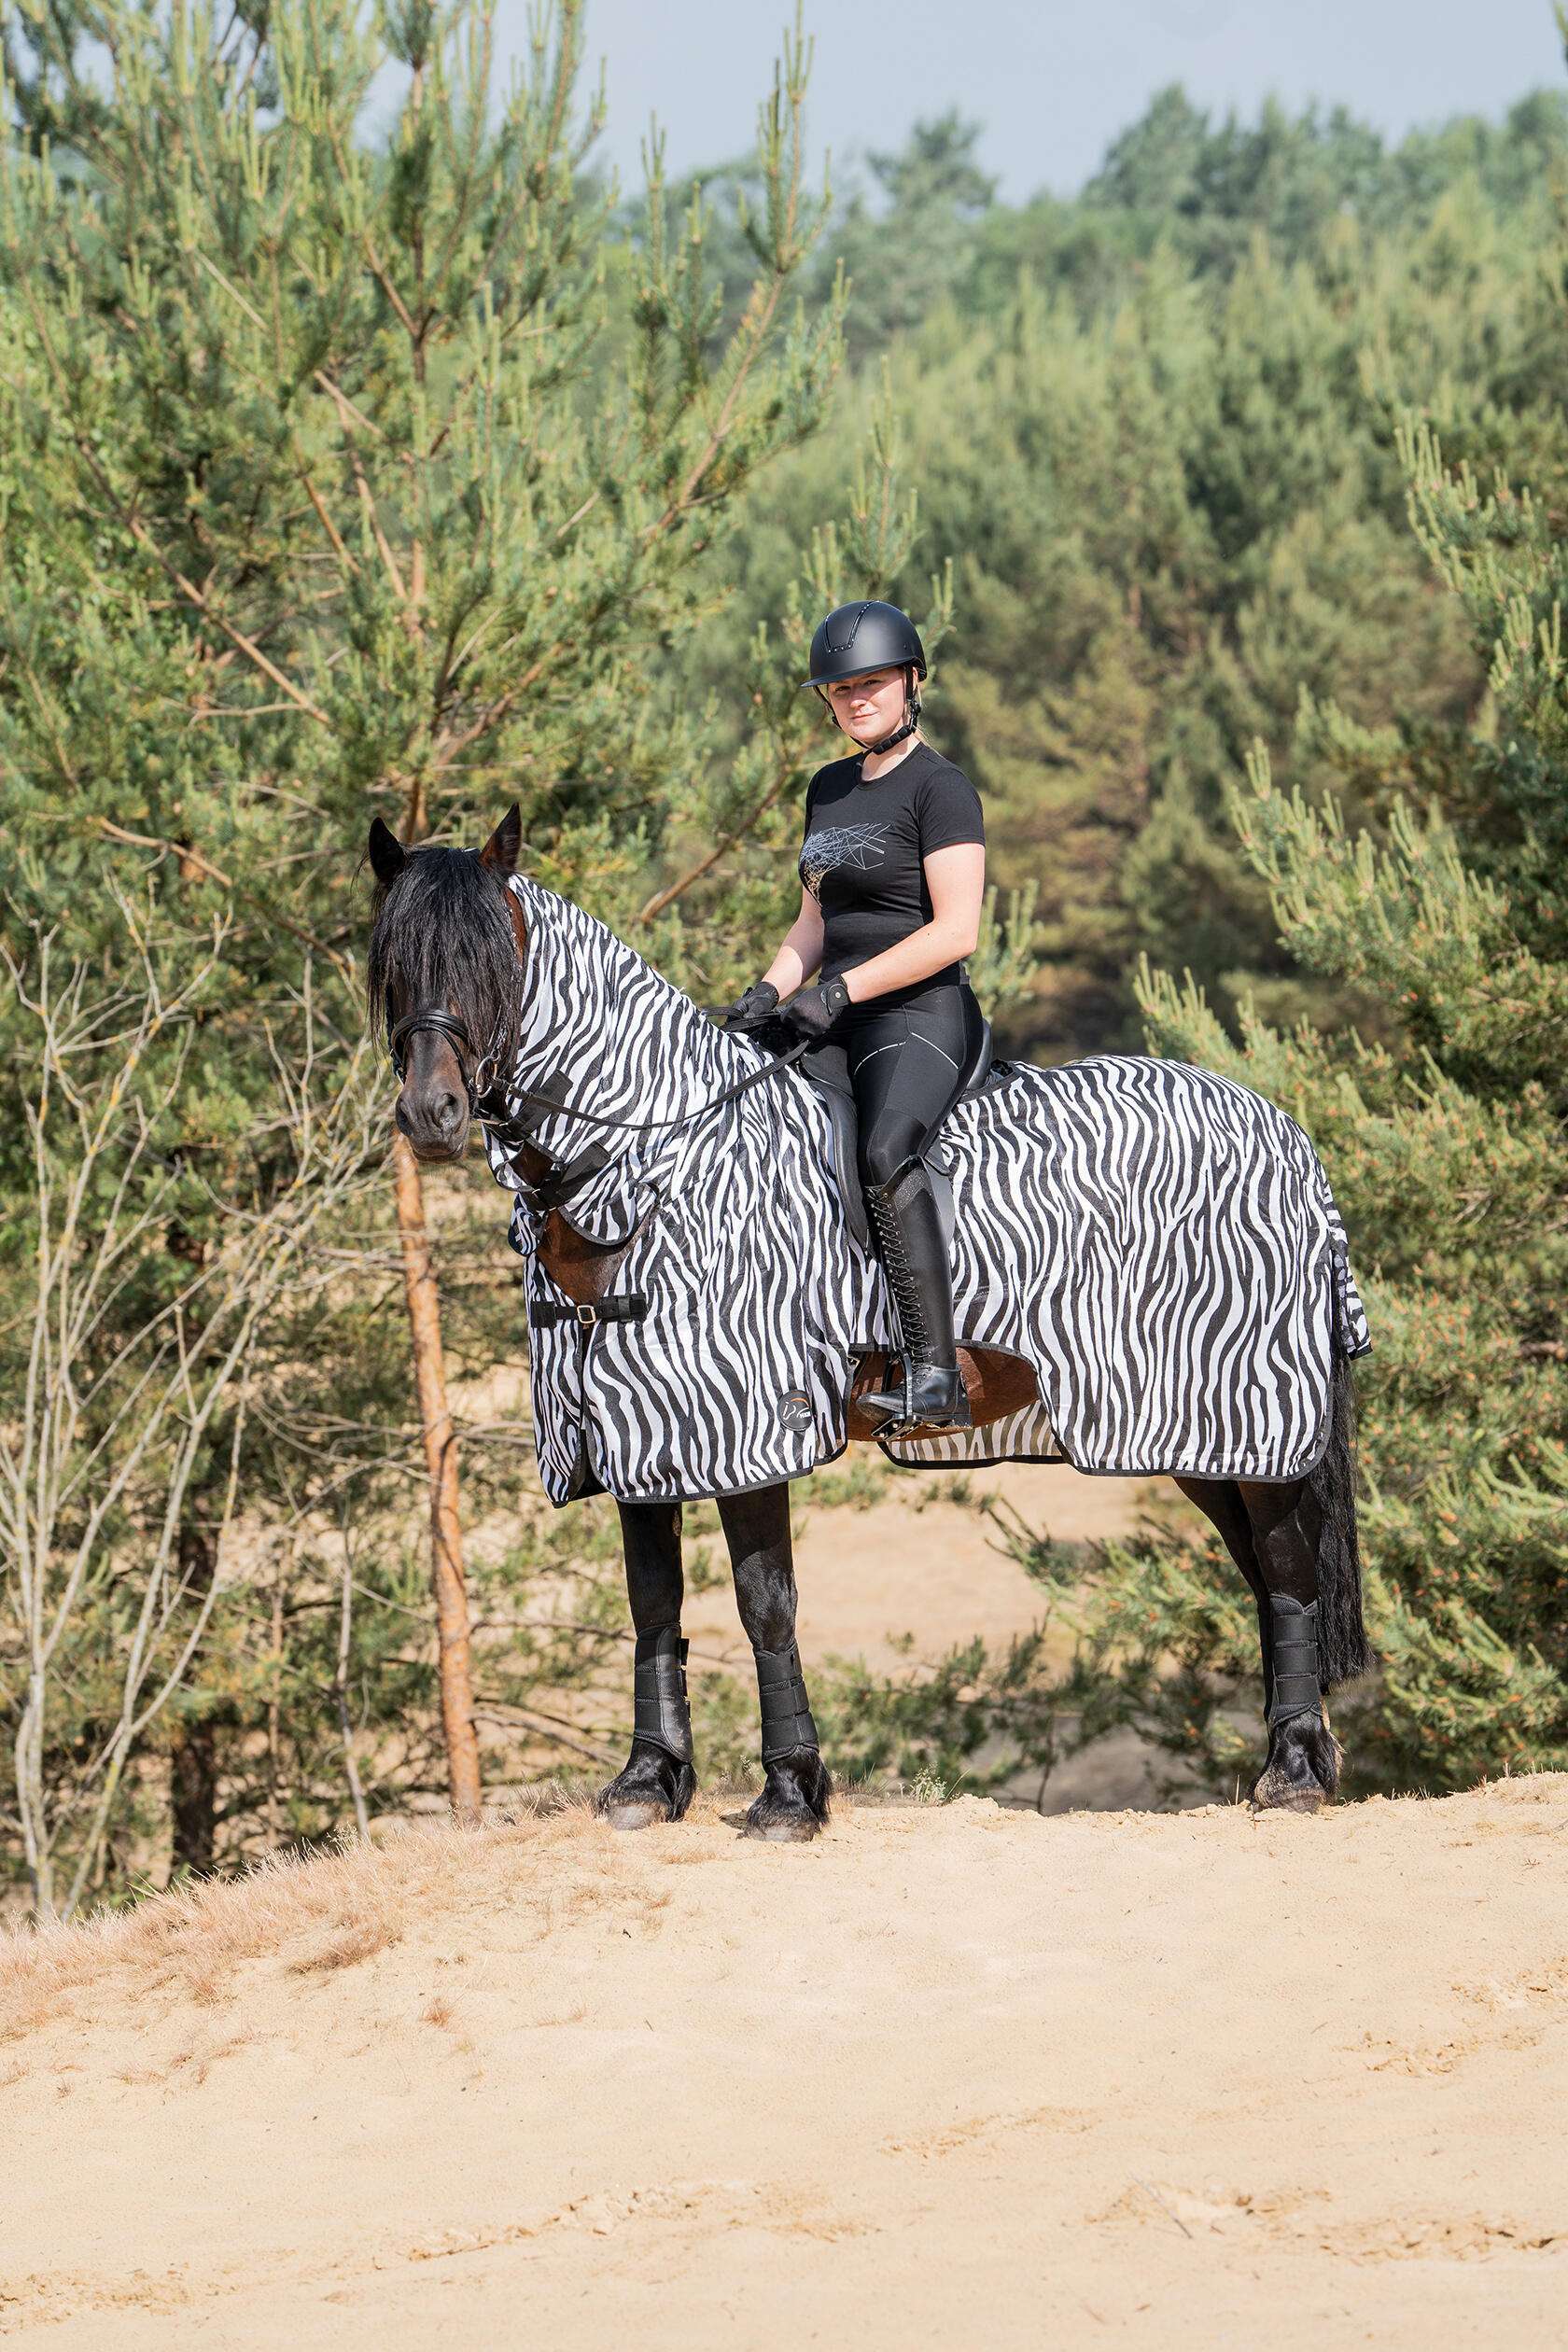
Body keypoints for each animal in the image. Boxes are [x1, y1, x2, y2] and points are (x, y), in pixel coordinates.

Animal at [366, 805, 1374, 1839]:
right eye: (392, 960)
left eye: (494, 958)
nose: (432, 1114)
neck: (654, 1167)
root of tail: (1287, 1133)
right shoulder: (628, 1435)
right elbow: (652, 1604)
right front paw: (649, 1779)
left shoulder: (746, 1423)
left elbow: (765, 1602)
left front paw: (789, 1791)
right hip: (1199, 1437)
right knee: (1262, 1569)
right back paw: (1287, 1757)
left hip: (1240, 1410)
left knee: (1288, 1568)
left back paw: (1295, 1773)